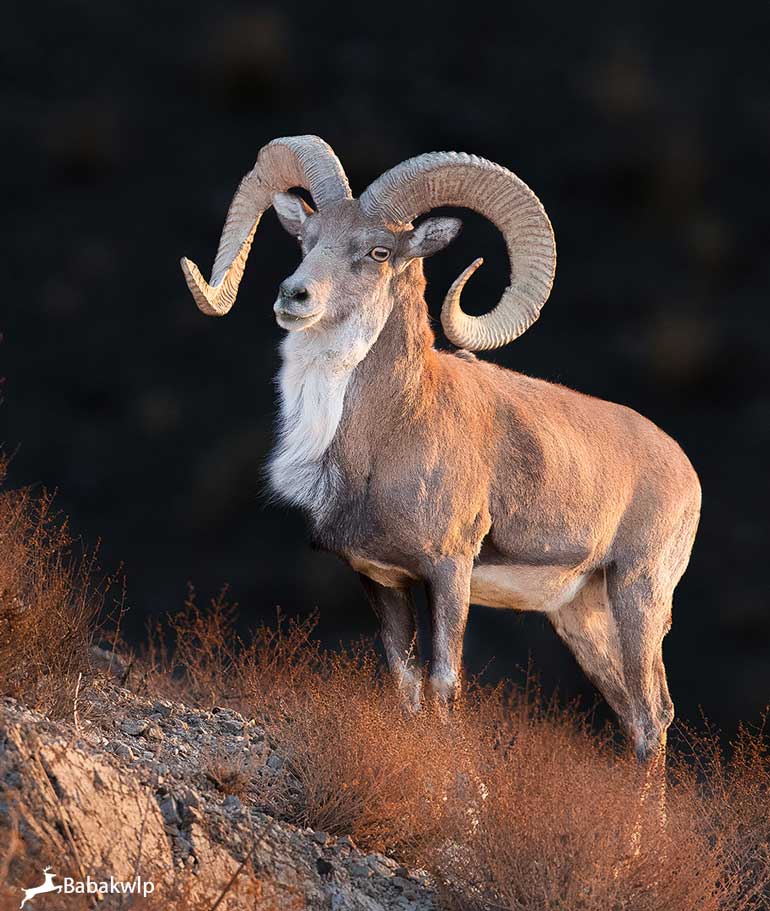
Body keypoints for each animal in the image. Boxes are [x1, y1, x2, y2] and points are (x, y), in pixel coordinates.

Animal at [183, 135, 700, 764]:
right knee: (634, 713)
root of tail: (684, 470)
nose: (293, 296)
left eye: (379, 251)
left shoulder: (450, 572)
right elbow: (407, 686)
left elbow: (444, 684)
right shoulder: (384, 582)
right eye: (307, 239)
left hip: (638, 594)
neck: (383, 440)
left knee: (652, 716)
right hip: (581, 614)